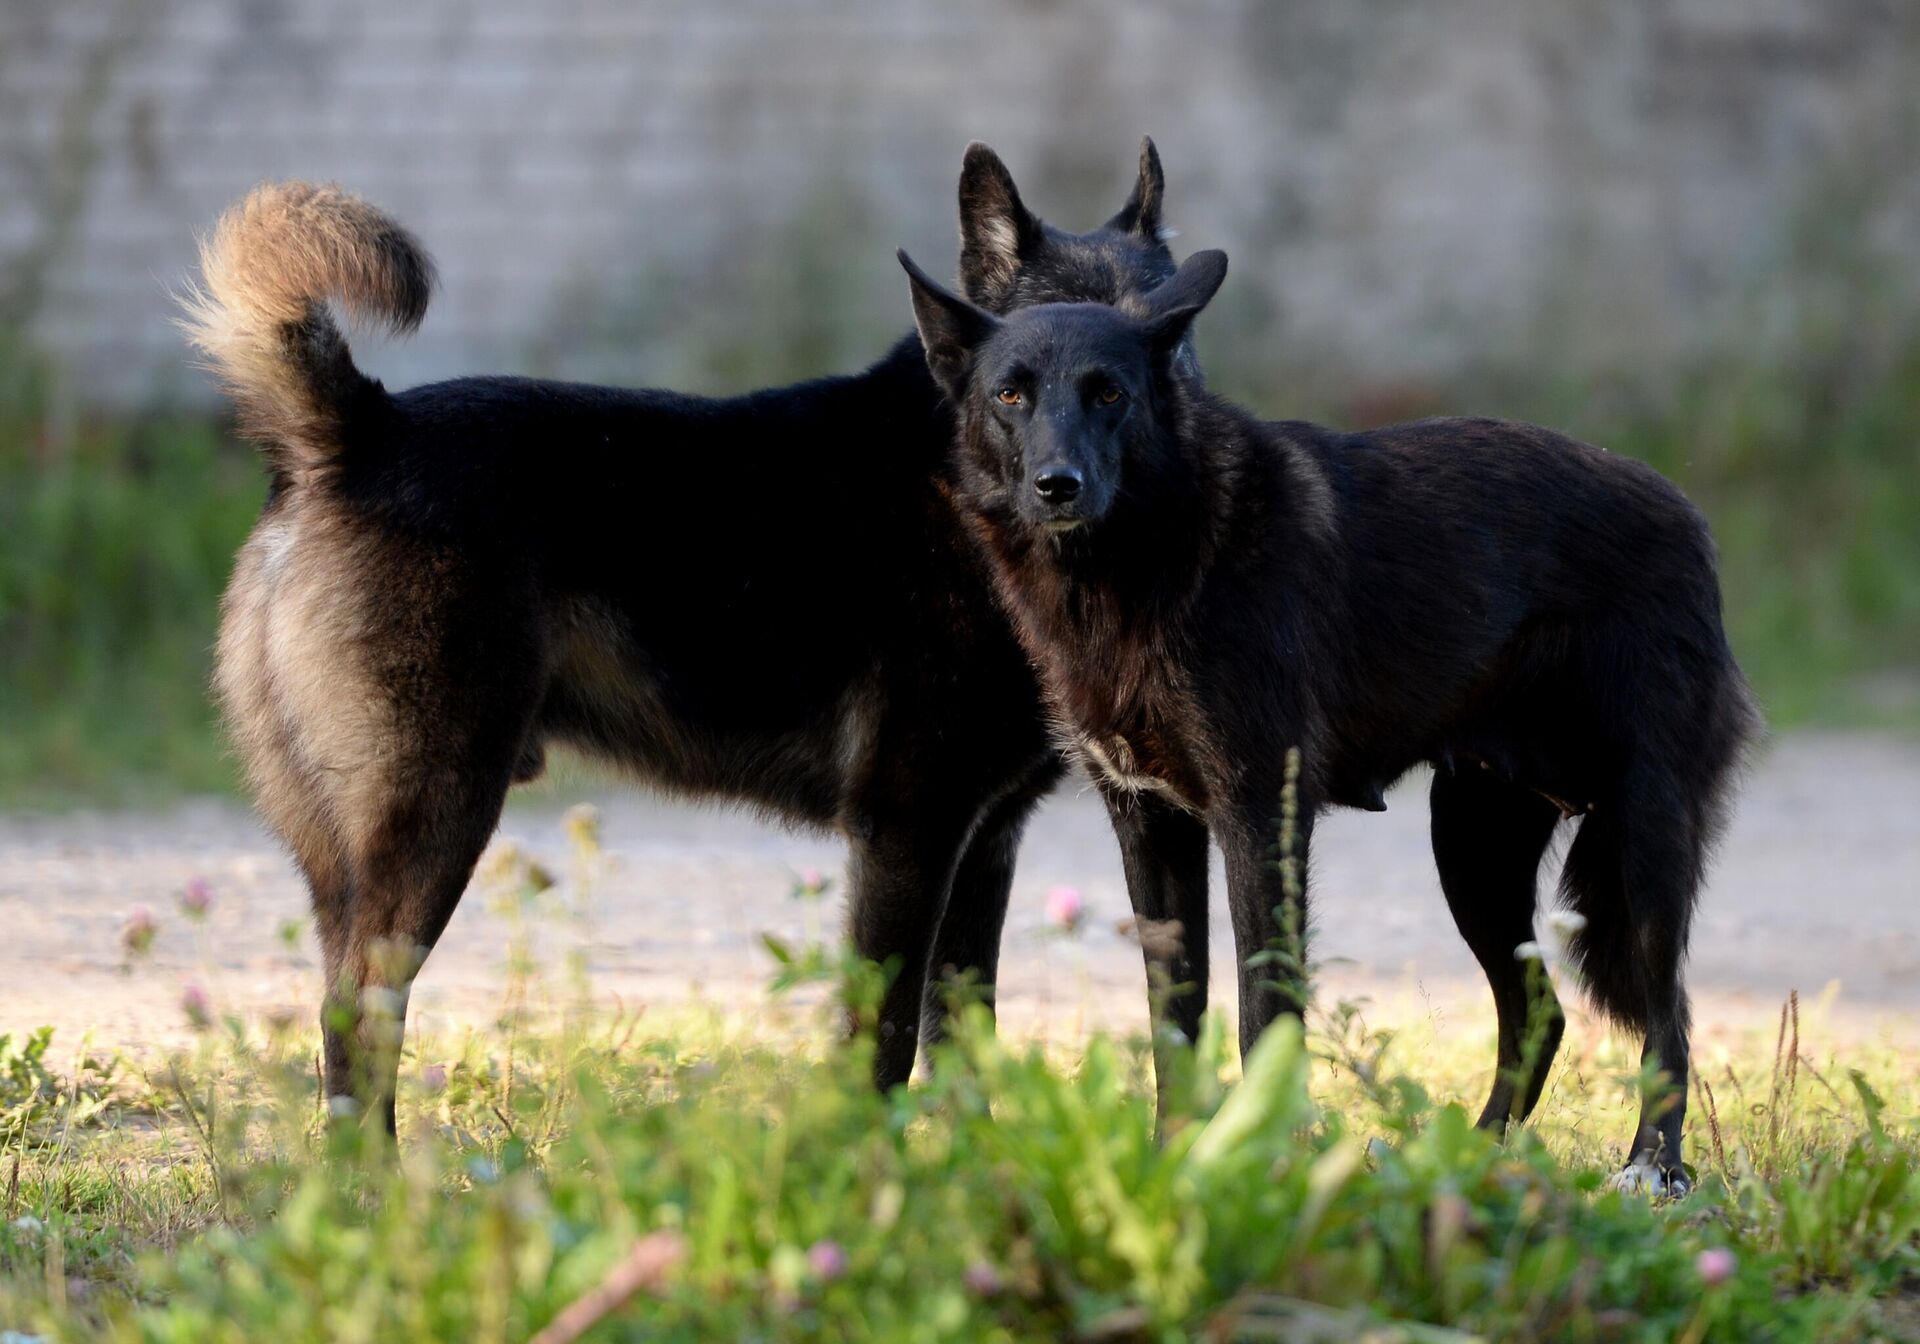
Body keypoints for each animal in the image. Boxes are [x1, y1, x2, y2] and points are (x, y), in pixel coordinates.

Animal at [187, 142, 1182, 1128]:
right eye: (1035, 378)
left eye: (1167, 343)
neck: (960, 477)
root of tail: (356, 429)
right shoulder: (908, 830)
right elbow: (883, 1041)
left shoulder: (984, 843)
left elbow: (962, 1045)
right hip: (435, 820)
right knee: (359, 1021)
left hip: (347, 863)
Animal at [898, 247, 1758, 1190]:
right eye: (1011, 394)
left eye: (1109, 392)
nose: (1059, 486)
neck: (1141, 564)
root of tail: (1686, 514)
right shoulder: (1151, 823)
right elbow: (1173, 1023)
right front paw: (1176, 1162)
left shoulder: (1259, 819)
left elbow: (1263, 1013)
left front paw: (1261, 1162)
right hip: (1474, 856)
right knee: (1542, 1014)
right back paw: (1470, 1158)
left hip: (1641, 840)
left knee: (1669, 1017)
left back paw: (1653, 1168)